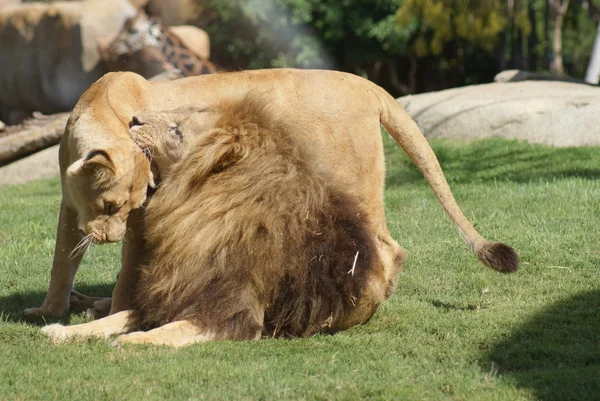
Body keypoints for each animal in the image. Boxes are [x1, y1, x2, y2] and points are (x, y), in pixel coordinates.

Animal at [25, 68, 516, 318]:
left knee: (387, 248)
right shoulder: (70, 207)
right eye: (109, 205)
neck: (100, 108)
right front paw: (48, 311)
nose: (108, 238)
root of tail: (367, 84)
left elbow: (129, 273)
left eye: (128, 206)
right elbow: (61, 263)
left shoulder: (144, 218)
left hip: (350, 182)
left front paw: (117, 311)